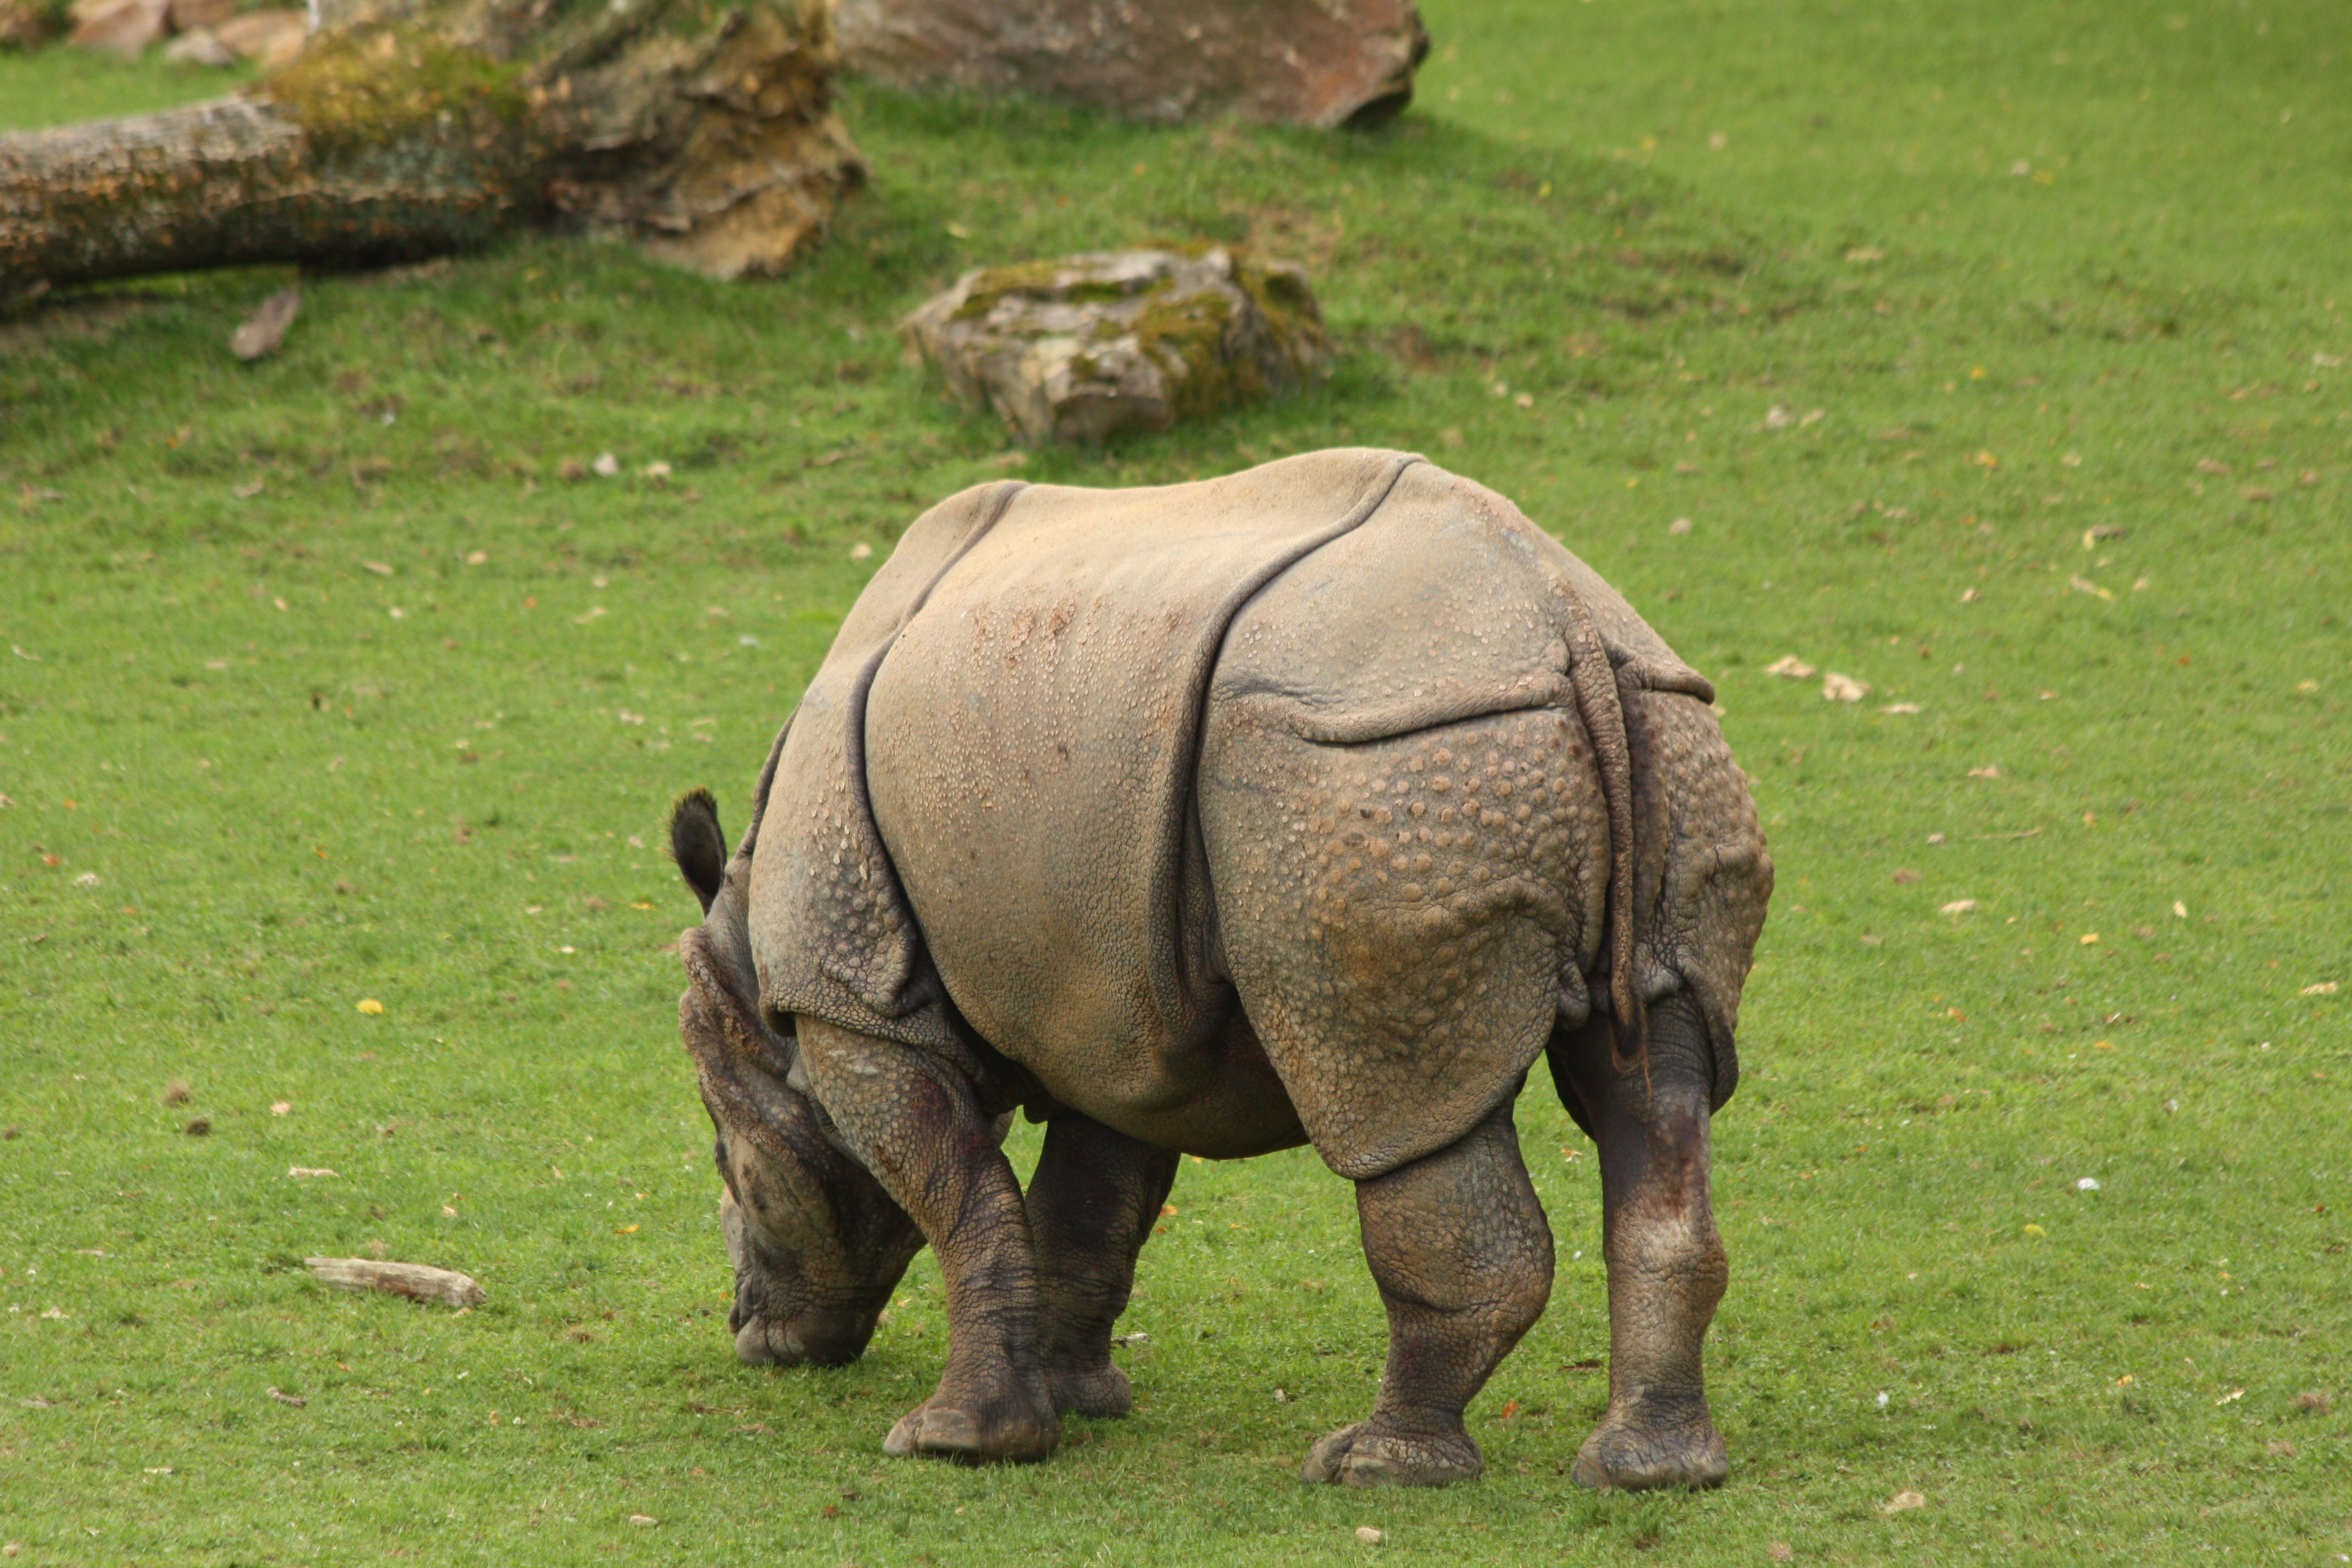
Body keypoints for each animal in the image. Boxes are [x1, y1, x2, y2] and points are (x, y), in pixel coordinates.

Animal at [663, 447, 1768, 1495]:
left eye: (739, 1174)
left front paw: (957, 1443)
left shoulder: (852, 1001)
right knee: (1656, 1085)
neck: (749, 959)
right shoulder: (1105, 1009)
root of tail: (1566, 621)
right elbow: (1087, 1206)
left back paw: (1371, 1466)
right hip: (1655, 736)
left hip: (1366, 763)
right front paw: (1081, 1401)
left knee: (1393, 1113)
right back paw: (1650, 1471)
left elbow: (961, 1191)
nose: (752, 1333)